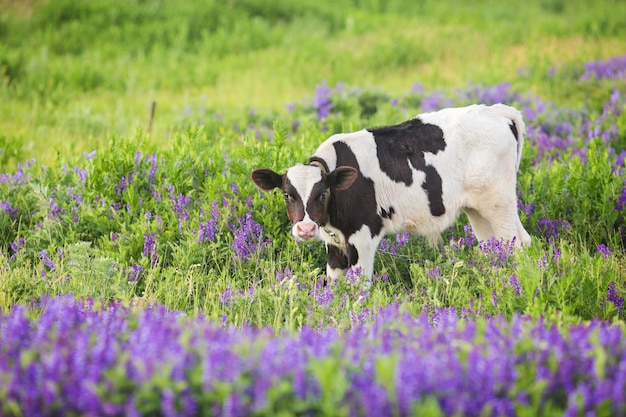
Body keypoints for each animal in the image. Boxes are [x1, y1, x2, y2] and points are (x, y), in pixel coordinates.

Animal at [251, 103, 528, 280]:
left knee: (514, 245)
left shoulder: (364, 235)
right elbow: (334, 285)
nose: (305, 228)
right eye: (287, 194)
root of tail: (497, 111)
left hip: (498, 204)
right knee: (496, 246)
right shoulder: (335, 244)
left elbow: (359, 286)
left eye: (321, 194)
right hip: (478, 209)